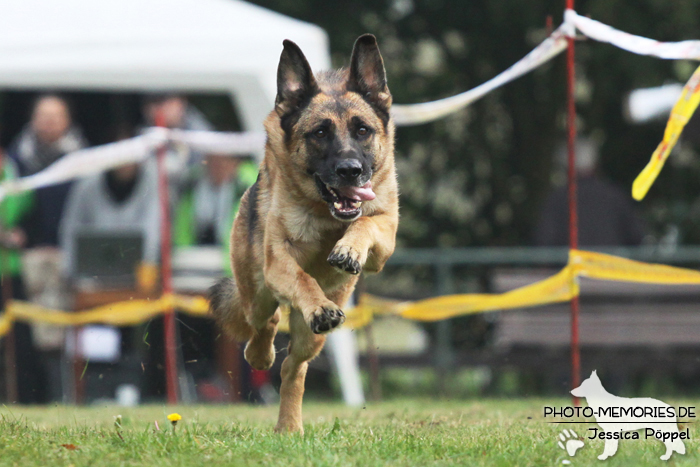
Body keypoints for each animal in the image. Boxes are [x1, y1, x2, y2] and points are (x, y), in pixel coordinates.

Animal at [211, 34, 400, 434]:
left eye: (363, 130)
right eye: (320, 133)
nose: (350, 170)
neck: (326, 216)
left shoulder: (384, 239)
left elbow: (365, 223)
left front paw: (348, 250)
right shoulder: (278, 262)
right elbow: (302, 278)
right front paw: (318, 304)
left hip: (310, 339)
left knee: (292, 368)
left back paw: (289, 426)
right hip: (257, 291)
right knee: (264, 324)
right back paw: (261, 355)